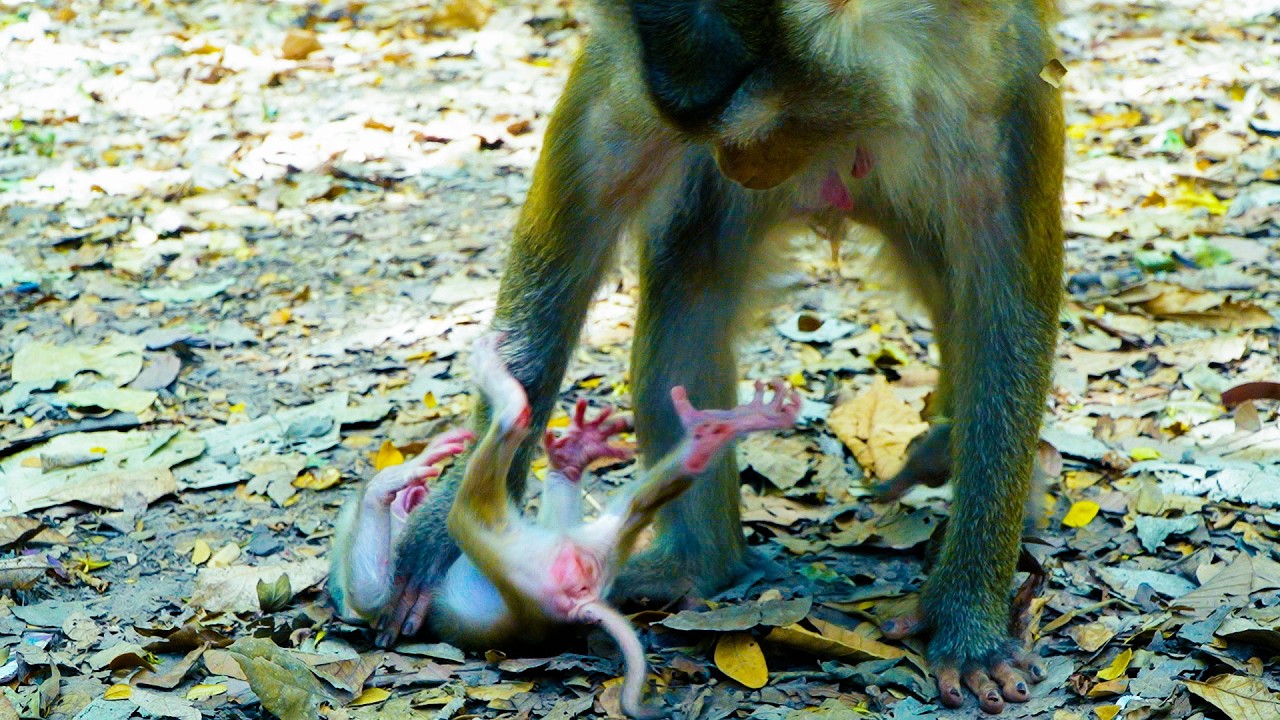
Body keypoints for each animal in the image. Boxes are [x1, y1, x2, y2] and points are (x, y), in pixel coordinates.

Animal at [330, 335, 802, 717]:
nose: (413, 498)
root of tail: (580, 601)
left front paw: (571, 457)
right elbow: (369, 593)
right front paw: (390, 484)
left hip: (592, 541)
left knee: (633, 504)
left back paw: (708, 439)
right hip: (511, 553)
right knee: (476, 496)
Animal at [383, 0, 1064, 712]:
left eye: (766, 123)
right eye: (724, 131)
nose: (738, 165)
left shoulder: (998, 91)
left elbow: (1003, 310)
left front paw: (969, 622)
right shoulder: (628, 90)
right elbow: (557, 278)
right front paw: (444, 530)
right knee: (692, 285)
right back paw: (696, 565)